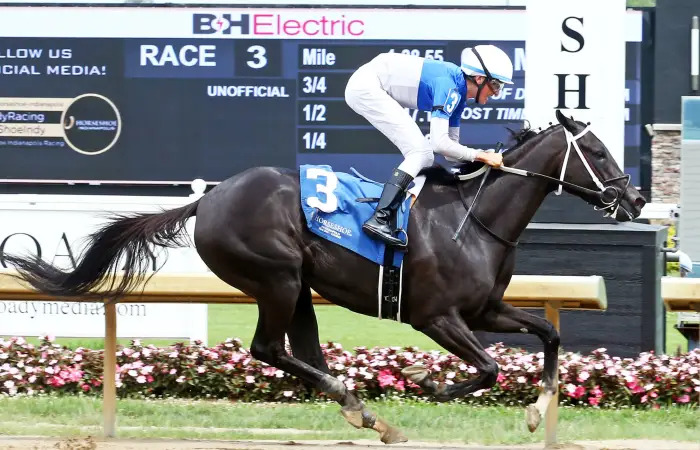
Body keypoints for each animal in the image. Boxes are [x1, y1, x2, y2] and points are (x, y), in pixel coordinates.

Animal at [6, 111, 644, 442]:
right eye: (597, 152)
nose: (635, 199)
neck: (471, 219)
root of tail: (209, 199)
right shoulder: (435, 316)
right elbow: (487, 368)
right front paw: (428, 381)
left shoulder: (484, 309)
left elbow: (550, 334)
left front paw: (537, 409)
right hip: (277, 277)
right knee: (269, 348)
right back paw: (360, 405)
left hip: (298, 287)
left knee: (302, 350)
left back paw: (361, 409)